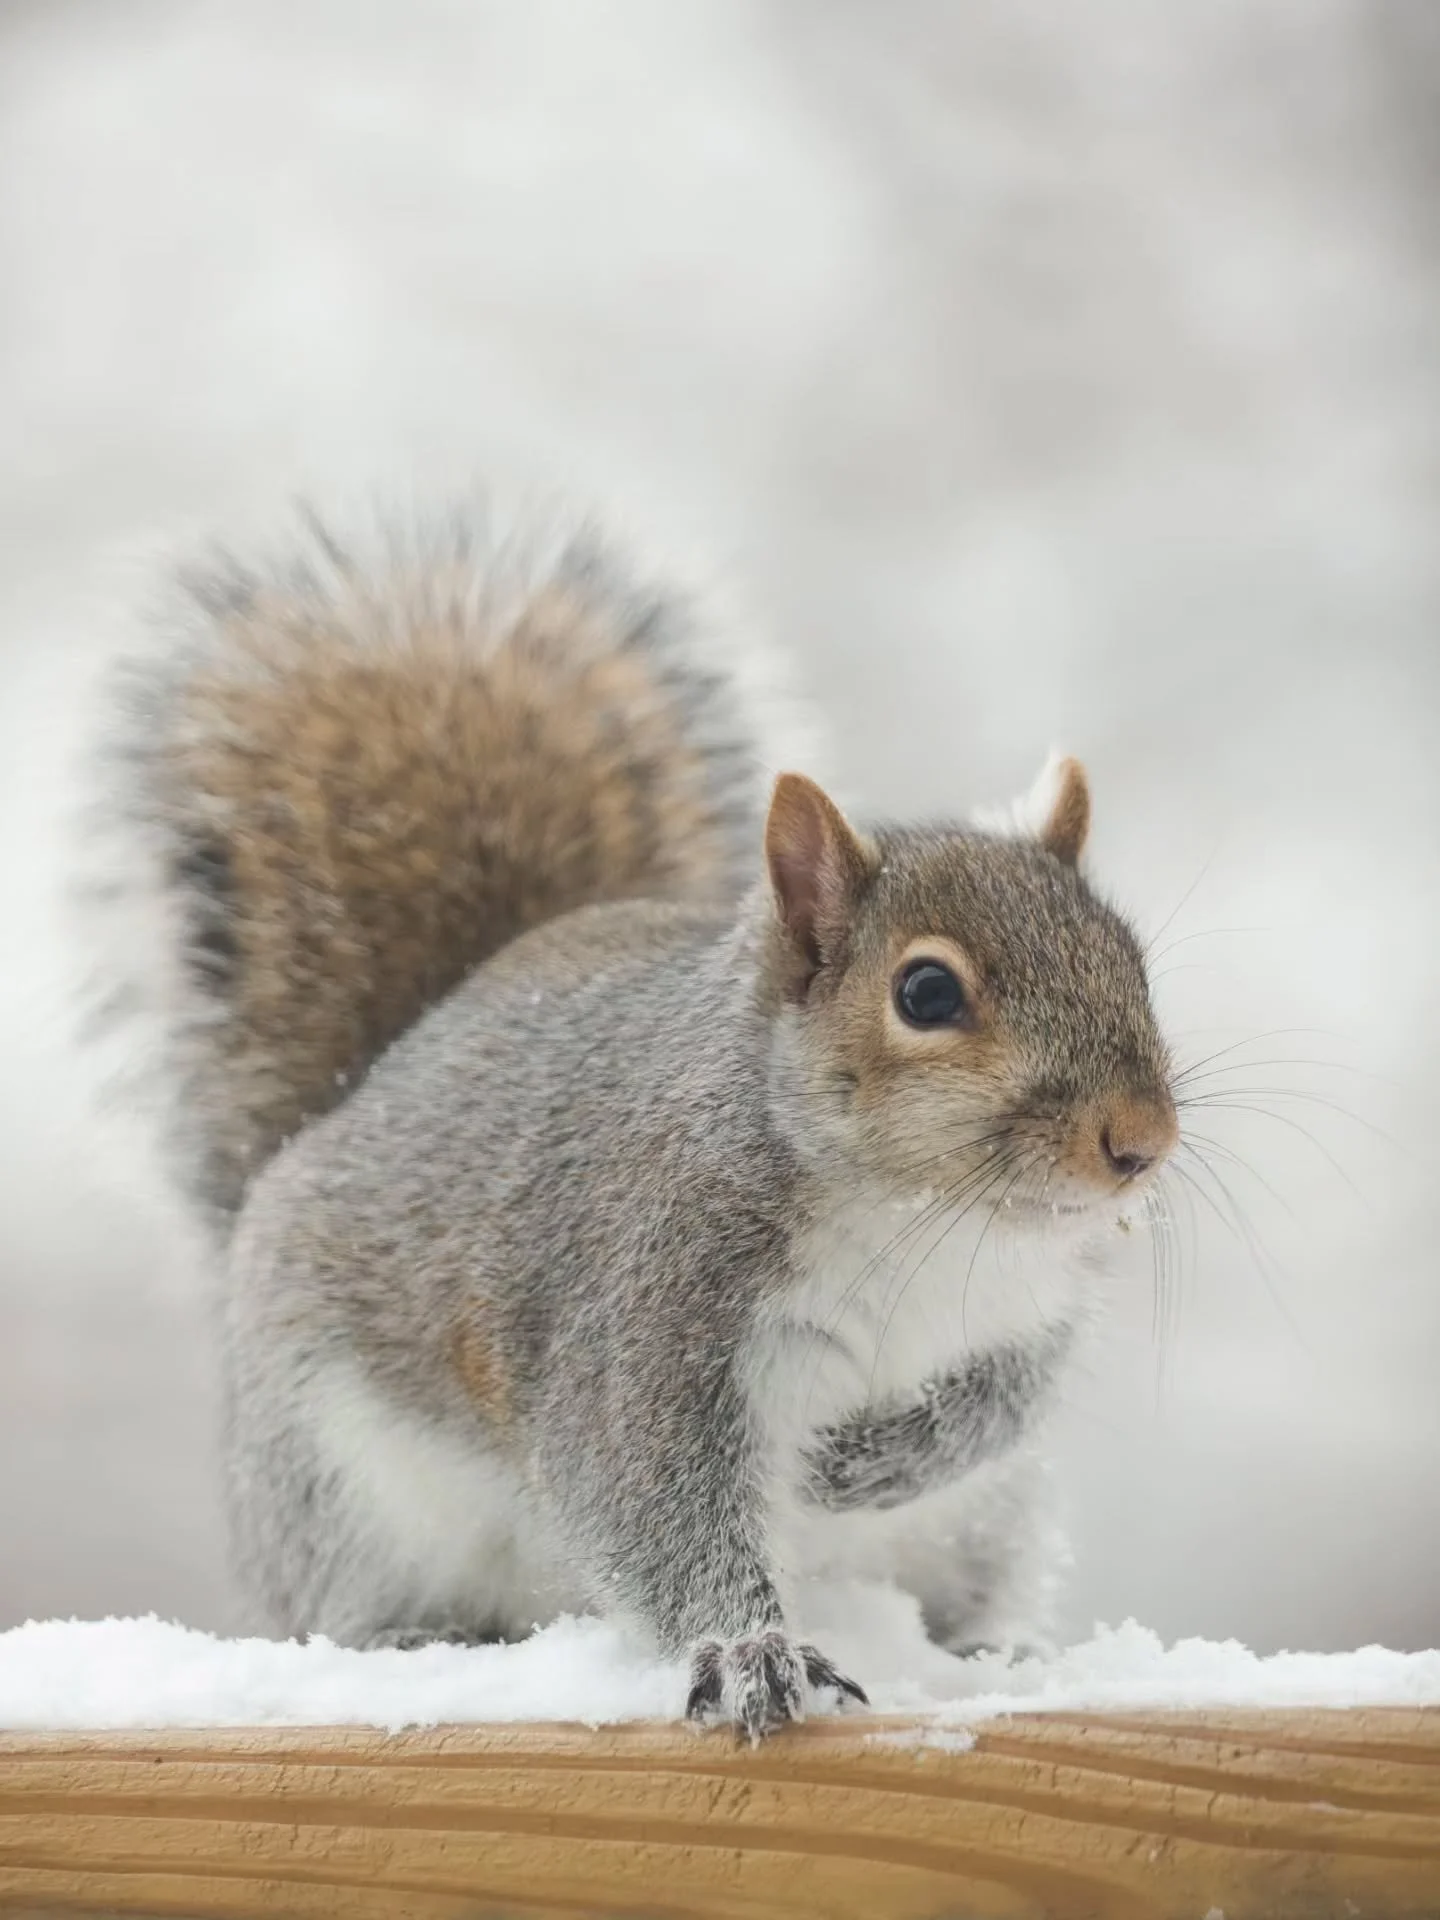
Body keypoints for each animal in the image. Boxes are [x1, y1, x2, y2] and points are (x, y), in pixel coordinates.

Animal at [97, 501, 1179, 1739]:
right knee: (344, 1596)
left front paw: (867, 1462)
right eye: (925, 994)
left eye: (1131, 961)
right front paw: (754, 1651)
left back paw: (992, 1650)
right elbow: (644, 1492)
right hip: (336, 1478)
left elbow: (1002, 1401)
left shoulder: (1030, 1309)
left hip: (987, 1526)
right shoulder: (645, 1309)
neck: (923, 1217)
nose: (1140, 1142)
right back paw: (408, 1639)